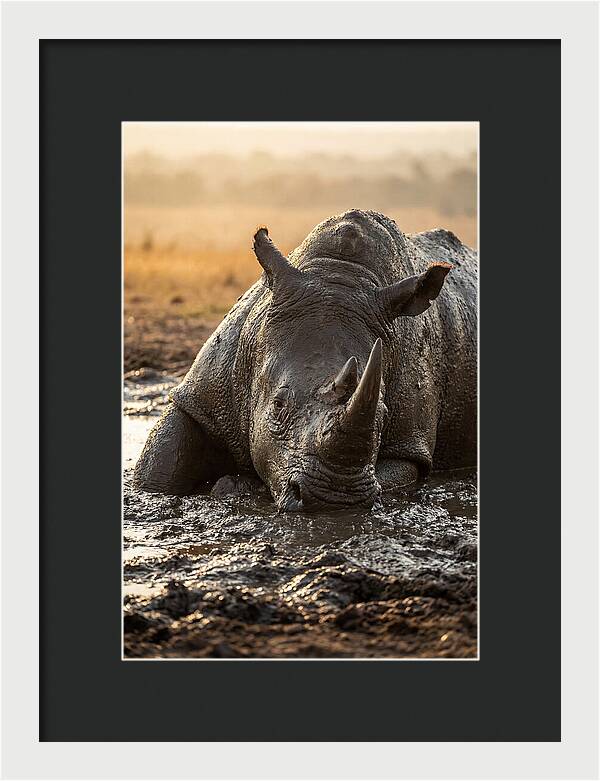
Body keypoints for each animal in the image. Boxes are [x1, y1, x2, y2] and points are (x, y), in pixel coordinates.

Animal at [133, 209, 477, 512]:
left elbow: (397, 473)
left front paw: (236, 486)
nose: (334, 498)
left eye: (383, 414)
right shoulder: (201, 396)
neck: (340, 274)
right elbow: (159, 468)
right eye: (277, 405)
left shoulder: (410, 445)